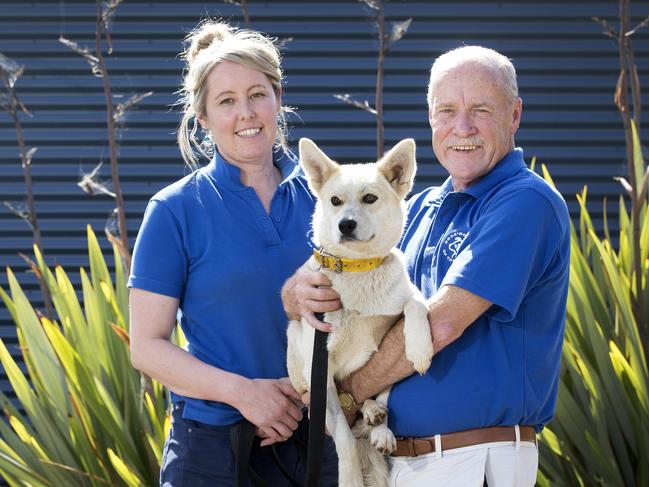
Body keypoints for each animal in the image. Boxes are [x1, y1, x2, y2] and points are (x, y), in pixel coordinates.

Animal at [288, 137, 430, 487]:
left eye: (369, 198)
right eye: (335, 201)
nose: (346, 224)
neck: (357, 268)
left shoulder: (402, 305)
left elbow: (416, 304)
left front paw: (420, 349)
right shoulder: (320, 374)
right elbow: (345, 440)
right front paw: (350, 476)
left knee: (384, 396)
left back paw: (378, 422)